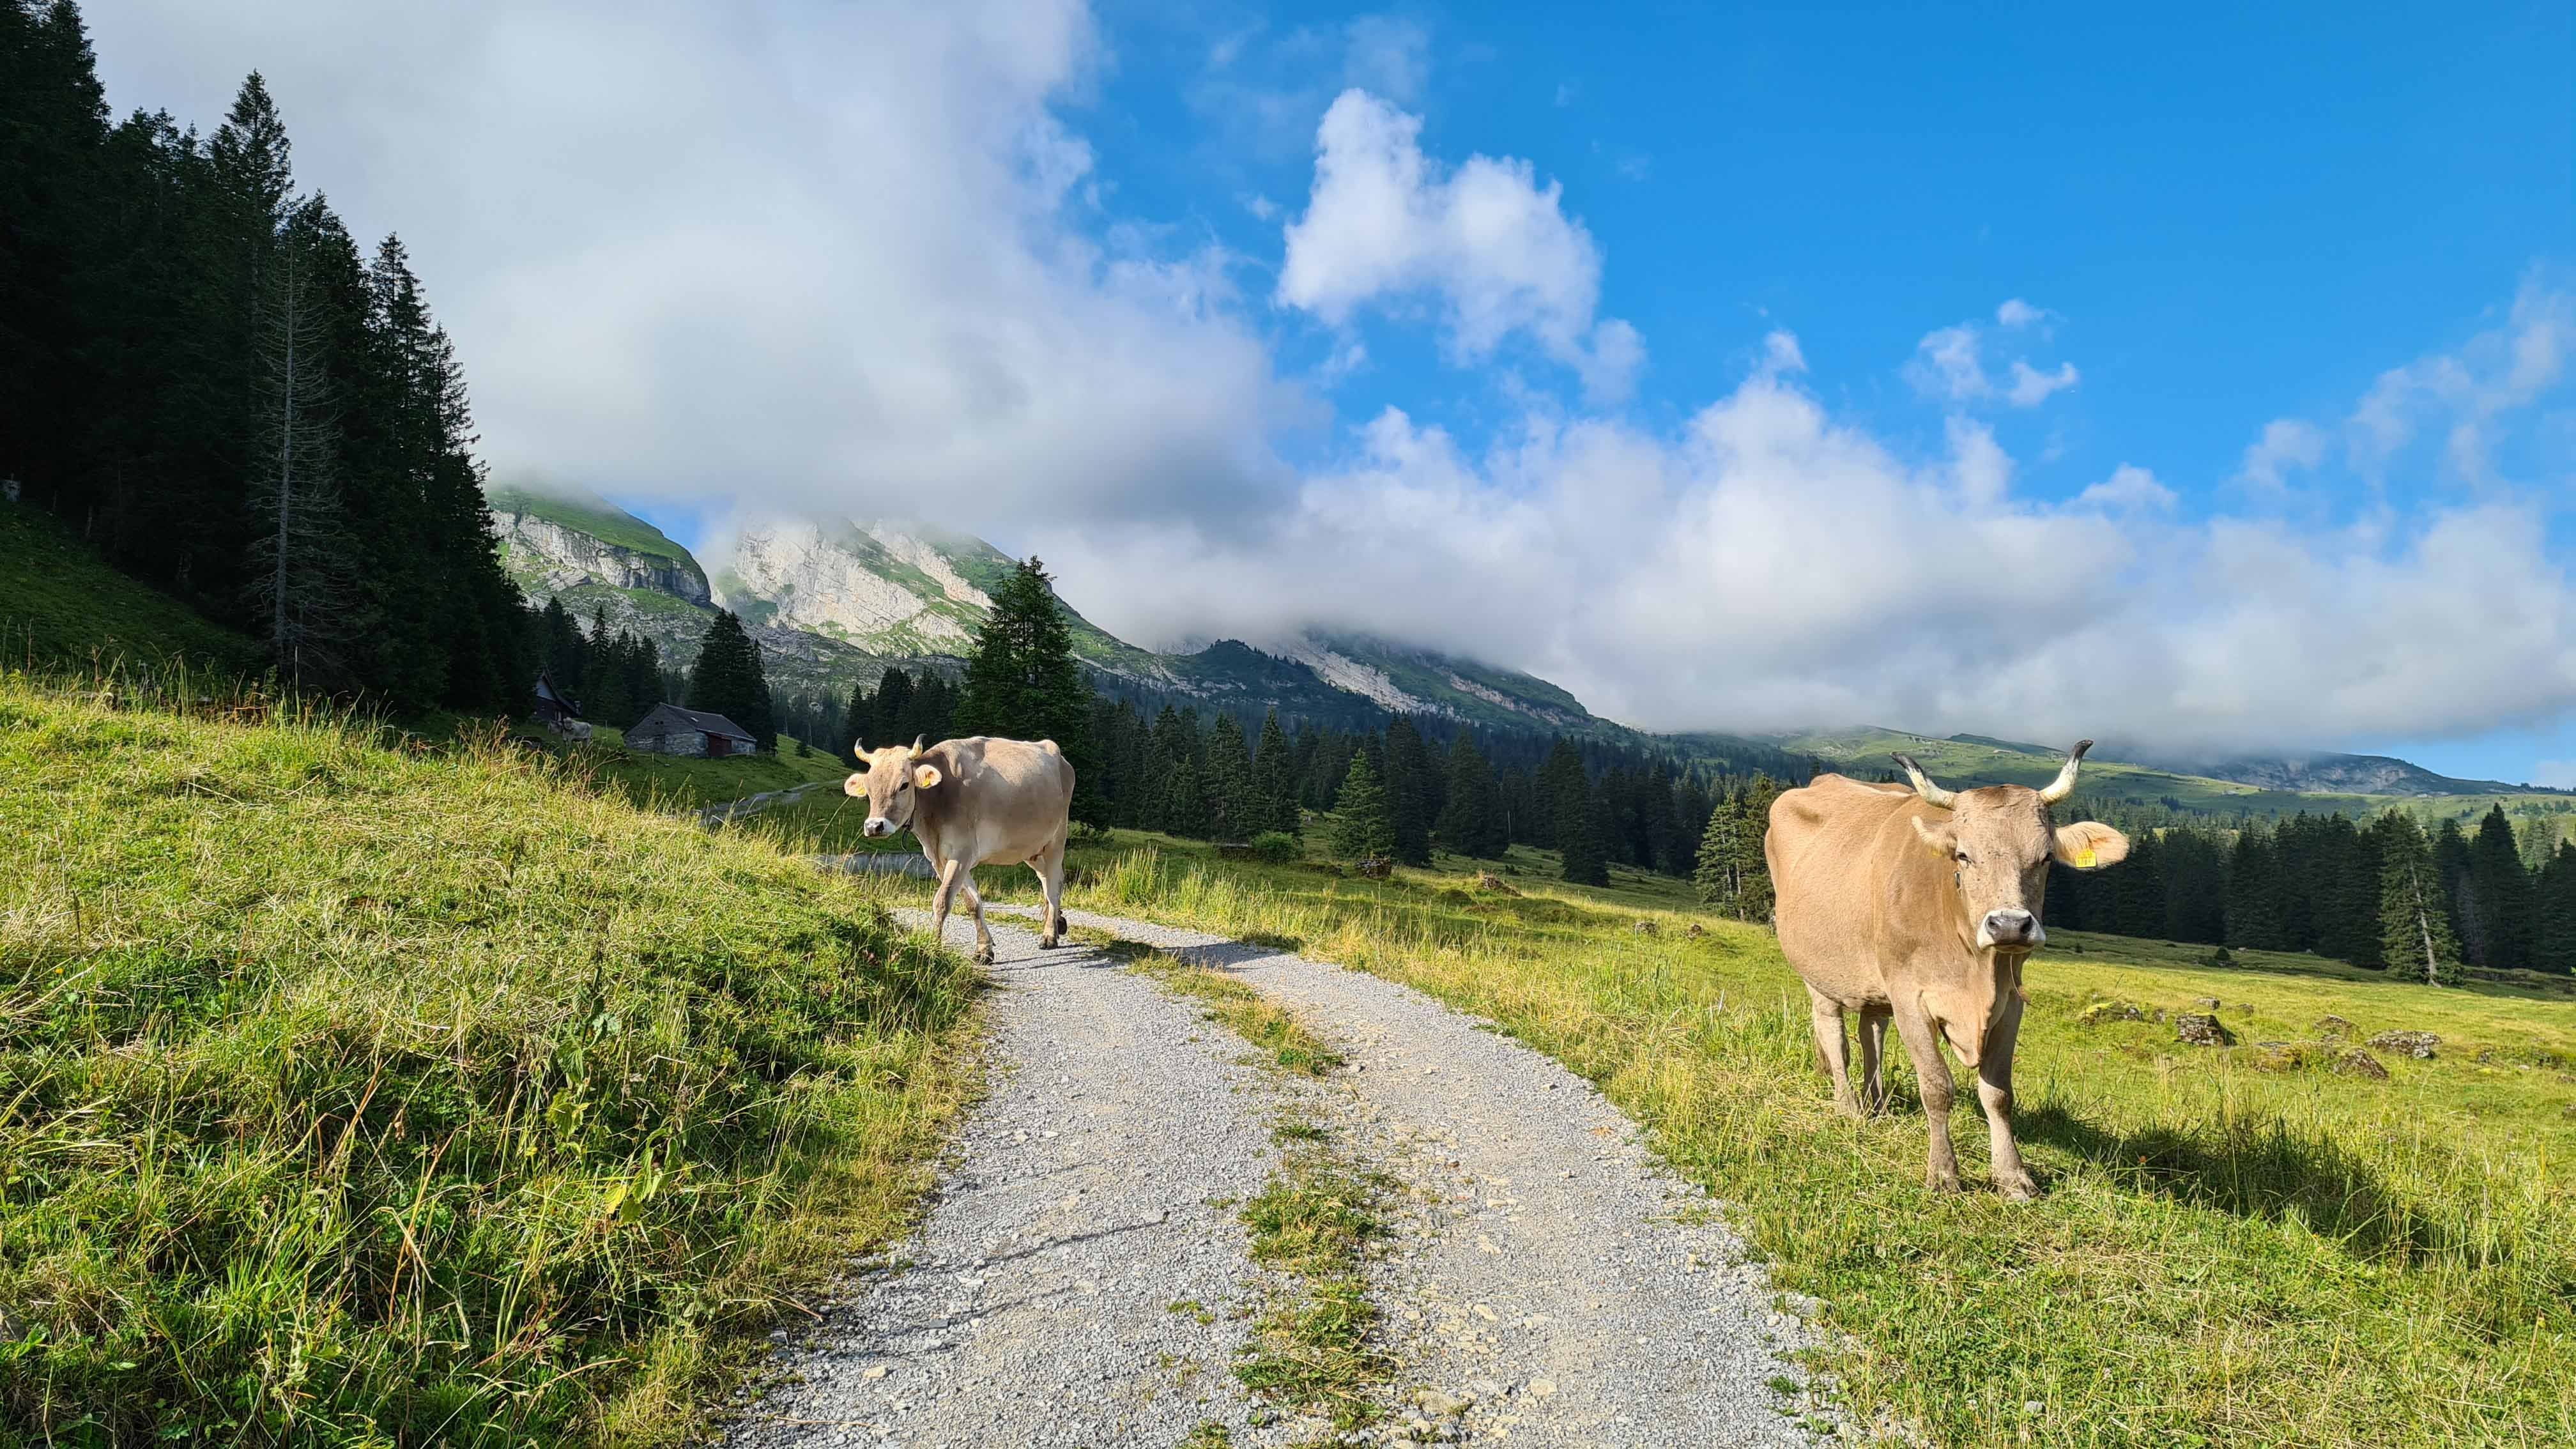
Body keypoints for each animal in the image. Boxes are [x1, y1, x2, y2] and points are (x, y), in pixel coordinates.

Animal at [850, 732, 1071, 959]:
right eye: (868, 788)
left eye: (904, 785)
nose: (874, 826)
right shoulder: (938, 859)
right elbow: (972, 902)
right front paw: (984, 948)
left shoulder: (962, 854)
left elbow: (942, 901)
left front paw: (934, 947)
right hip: (1031, 849)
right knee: (1047, 879)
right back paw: (1058, 921)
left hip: (1056, 840)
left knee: (1053, 885)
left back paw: (1050, 935)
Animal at [1772, 737, 2133, 1191]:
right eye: (1963, 855)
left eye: (2047, 857)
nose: (2009, 925)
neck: (1974, 973)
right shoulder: (1910, 996)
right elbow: (1937, 1087)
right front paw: (1944, 1173)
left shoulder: (2011, 1003)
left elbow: (1999, 1094)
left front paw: (2013, 1176)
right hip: (1817, 971)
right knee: (1834, 1035)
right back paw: (1850, 1107)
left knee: (1871, 1031)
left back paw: (1877, 1105)